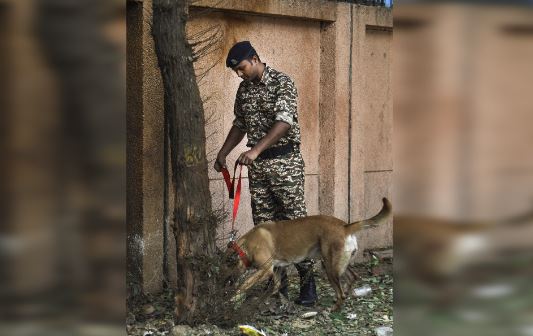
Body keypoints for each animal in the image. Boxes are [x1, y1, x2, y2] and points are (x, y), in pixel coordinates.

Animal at [224, 198, 390, 312]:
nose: (223, 284)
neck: (245, 246)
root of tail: (345, 226)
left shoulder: (265, 269)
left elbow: (246, 283)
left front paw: (234, 297)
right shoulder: (276, 269)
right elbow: (274, 287)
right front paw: (261, 301)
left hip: (329, 266)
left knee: (341, 292)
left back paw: (334, 309)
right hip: (337, 263)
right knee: (352, 277)